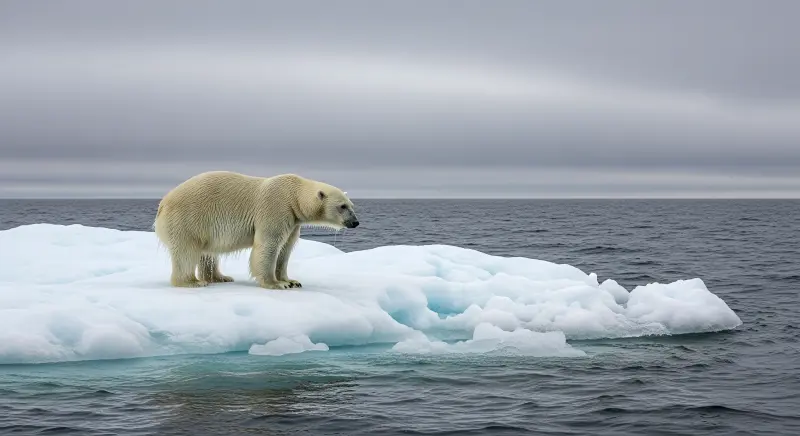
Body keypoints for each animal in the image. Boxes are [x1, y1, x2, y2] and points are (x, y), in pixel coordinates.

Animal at [153, 170, 359, 289]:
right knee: (187, 252)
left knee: (207, 253)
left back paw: (220, 277)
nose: (355, 222)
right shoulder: (276, 207)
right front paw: (276, 284)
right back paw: (191, 282)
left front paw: (292, 281)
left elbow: (285, 249)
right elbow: (268, 245)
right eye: (342, 206)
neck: (293, 195)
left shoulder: (293, 220)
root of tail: (162, 204)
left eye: (351, 205)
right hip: (187, 219)